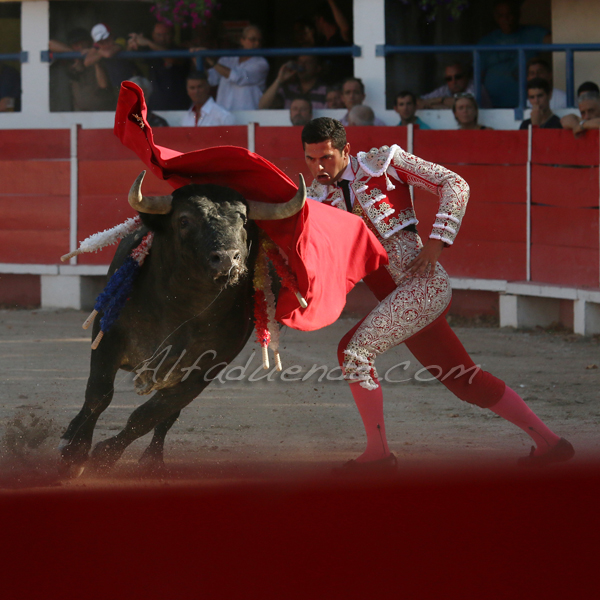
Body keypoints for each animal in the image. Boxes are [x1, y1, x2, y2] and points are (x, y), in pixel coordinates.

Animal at [57, 170, 304, 474]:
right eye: (184, 220)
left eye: (243, 221)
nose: (227, 259)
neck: (182, 306)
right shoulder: (107, 334)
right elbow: (99, 393)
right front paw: (74, 453)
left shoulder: (203, 369)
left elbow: (149, 415)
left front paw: (105, 456)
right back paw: (69, 437)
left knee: (167, 414)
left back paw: (153, 459)